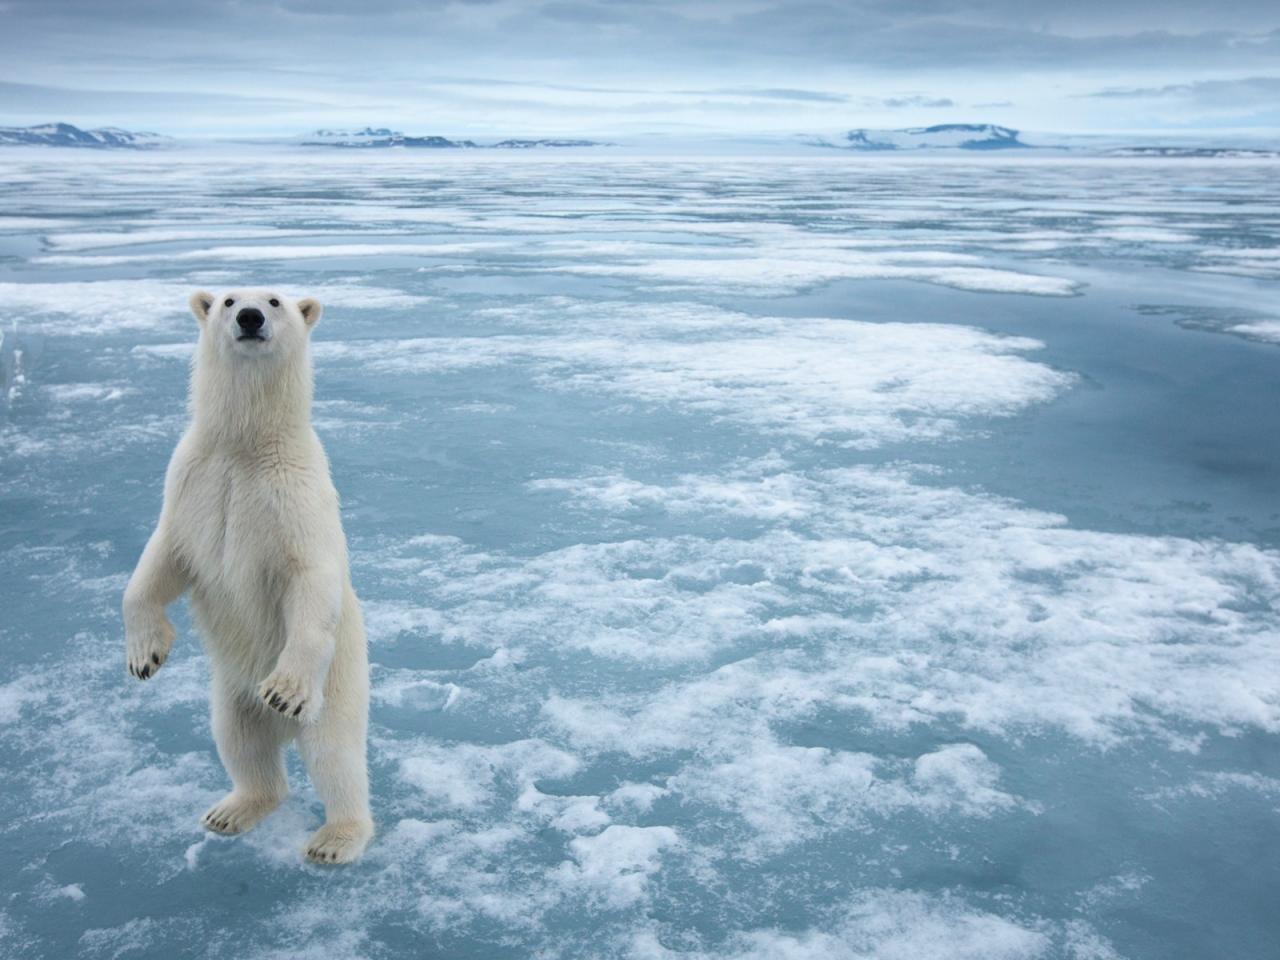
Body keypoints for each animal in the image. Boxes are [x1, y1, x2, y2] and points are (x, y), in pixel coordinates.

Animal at [122, 289, 373, 870]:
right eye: (228, 298)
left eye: (276, 300)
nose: (250, 317)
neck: (246, 445)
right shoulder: (192, 482)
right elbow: (160, 561)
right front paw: (145, 655)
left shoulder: (295, 496)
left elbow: (311, 578)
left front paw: (283, 689)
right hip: (230, 692)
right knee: (239, 742)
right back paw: (232, 810)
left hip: (339, 685)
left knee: (335, 756)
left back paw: (335, 838)